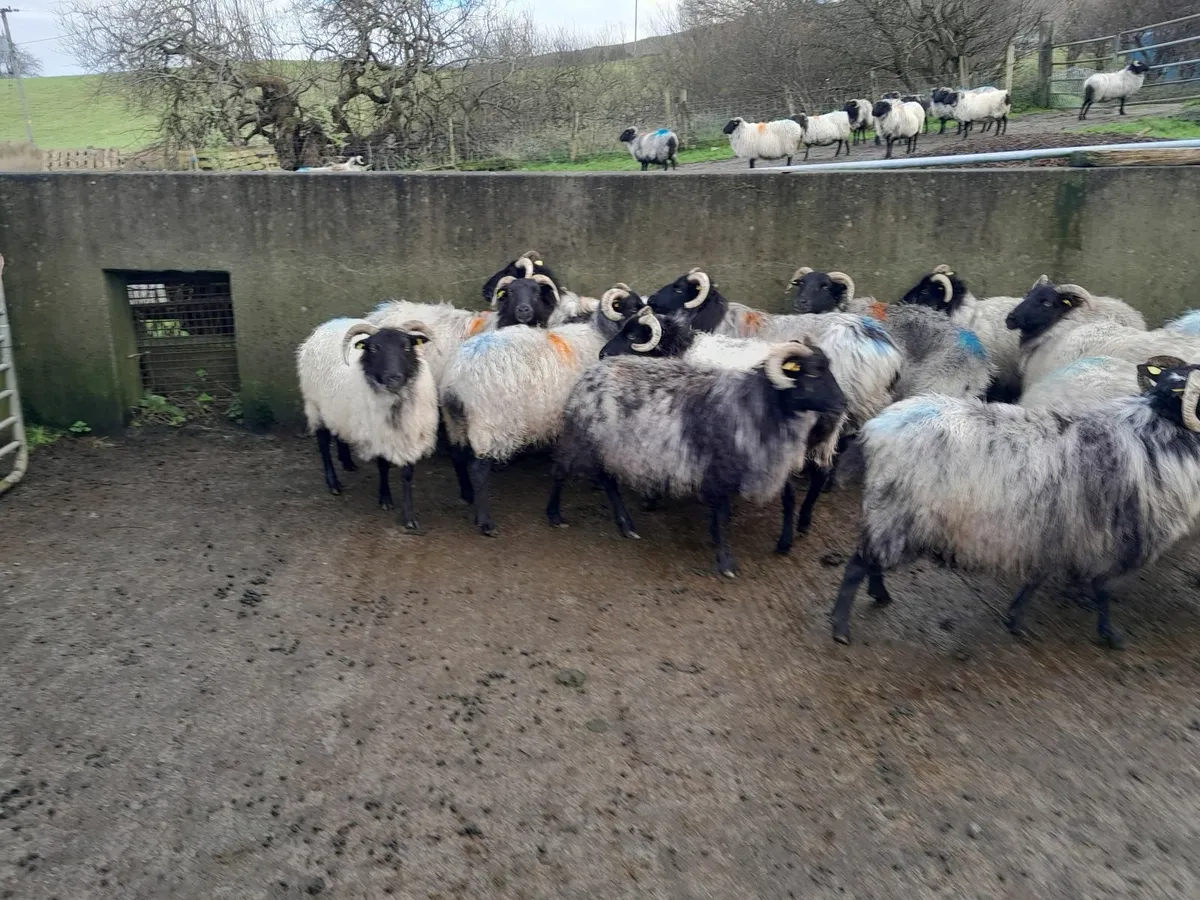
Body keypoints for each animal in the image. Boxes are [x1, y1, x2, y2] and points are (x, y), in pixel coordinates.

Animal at [296, 317, 438, 529]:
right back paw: (334, 484)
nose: (393, 378)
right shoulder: (377, 433)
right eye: (373, 348)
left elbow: (407, 475)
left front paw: (409, 517)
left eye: (406, 346)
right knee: (323, 443)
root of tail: (327, 324)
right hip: (315, 405)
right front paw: (385, 499)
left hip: (338, 409)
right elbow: (383, 466)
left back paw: (347, 462)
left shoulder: (411, 434)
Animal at [440, 322, 609, 535]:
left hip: (455, 422)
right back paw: (485, 521)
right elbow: (565, 467)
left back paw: (467, 493)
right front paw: (555, 513)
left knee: (457, 455)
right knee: (478, 469)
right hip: (490, 423)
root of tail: (455, 383)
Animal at [549, 339, 846, 576]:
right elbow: (721, 513)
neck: (757, 404)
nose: (843, 404)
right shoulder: (718, 469)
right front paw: (725, 561)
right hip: (583, 438)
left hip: (608, 446)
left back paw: (626, 525)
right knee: (561, 471)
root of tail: (591, 373)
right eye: (812, 373)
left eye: (829, 369)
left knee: (607, 481)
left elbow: (783, 497)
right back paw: (555, 515)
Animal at [830, 357, 1200, 649]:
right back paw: (841, 628)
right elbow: (1102, 590)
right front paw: (1109, 634)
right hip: (895, 513)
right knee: (858, 565)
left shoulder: (1057, 532)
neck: (1155, 433)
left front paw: (1016, 619)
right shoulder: (1111, 538)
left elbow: (1038, 578)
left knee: (872, 562)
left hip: (893, 517)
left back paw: (880, 596)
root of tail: (875, 428)